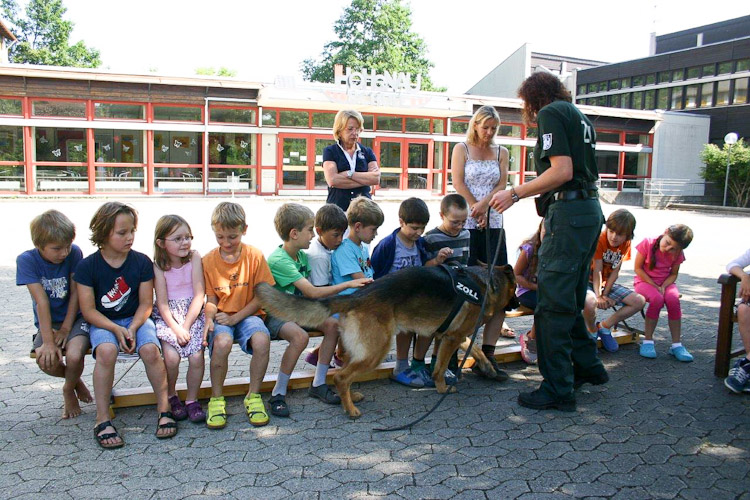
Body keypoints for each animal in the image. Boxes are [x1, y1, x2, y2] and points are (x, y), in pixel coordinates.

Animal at [258, 266, 516, 418]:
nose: (516, 303)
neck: (487, 284)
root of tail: (356, 296)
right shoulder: (452, 337)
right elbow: (441, 367)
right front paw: (443, 387)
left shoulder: (453, 335)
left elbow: (475, 349)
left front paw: (488, 368)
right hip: (377, 350)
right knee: (341, 376)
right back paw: (350, 410)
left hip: (360, 350)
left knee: (343, 373)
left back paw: (350, 397)